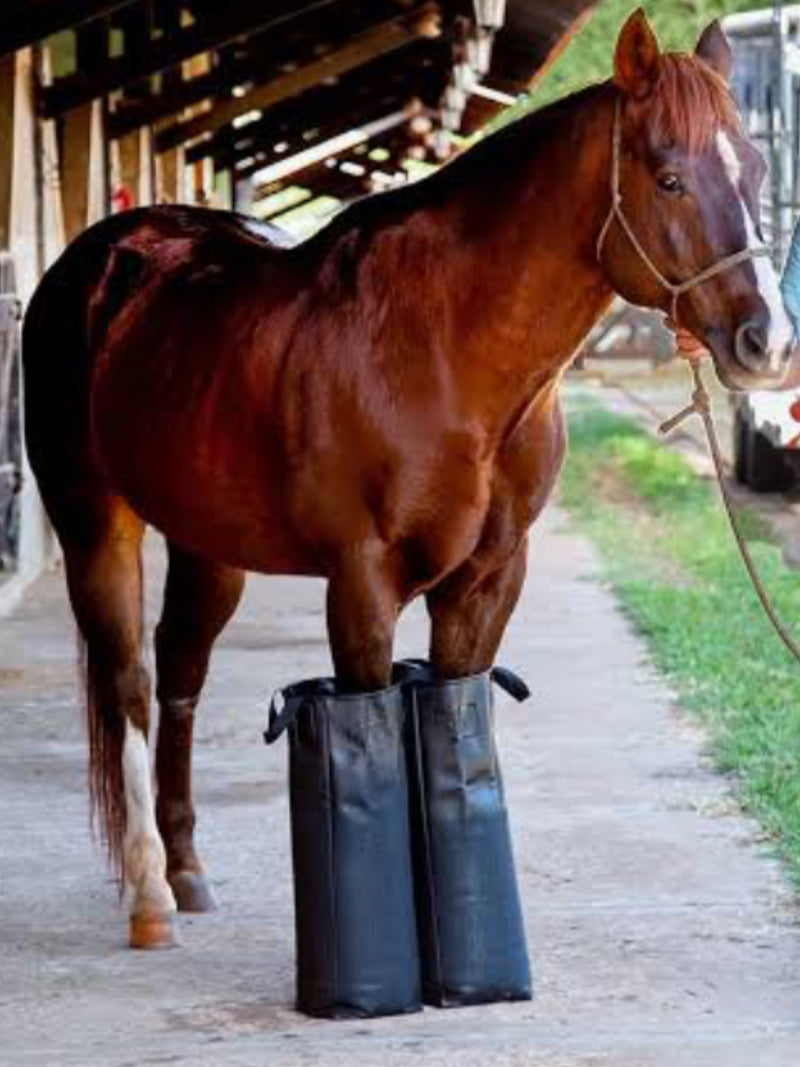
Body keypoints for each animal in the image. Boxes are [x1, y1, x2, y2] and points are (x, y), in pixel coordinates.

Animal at [21, 10, 797, 951]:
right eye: (670, 176)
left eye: (754, 168)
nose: (770, 343)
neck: (442, 350)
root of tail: (104, 258)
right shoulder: (363, 580)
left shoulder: (490, 577)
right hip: (94, 520)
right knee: (129, 679)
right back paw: (148, 896)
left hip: (209, 545)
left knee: (180, 673)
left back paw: (187, 869)